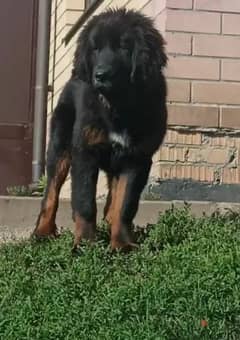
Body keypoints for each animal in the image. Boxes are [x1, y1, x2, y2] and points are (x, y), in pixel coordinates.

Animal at [33, 7, 167, 250]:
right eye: (95, 49)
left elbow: (124, 204)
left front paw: (122, 244)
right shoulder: (85, 152)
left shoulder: (136, 158)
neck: (118, 105)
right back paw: (42, 232)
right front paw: (85, 244)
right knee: (51, 193)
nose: (100, 75)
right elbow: (85, 201)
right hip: (60, 147)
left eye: (124, 47)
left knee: (111, 201)